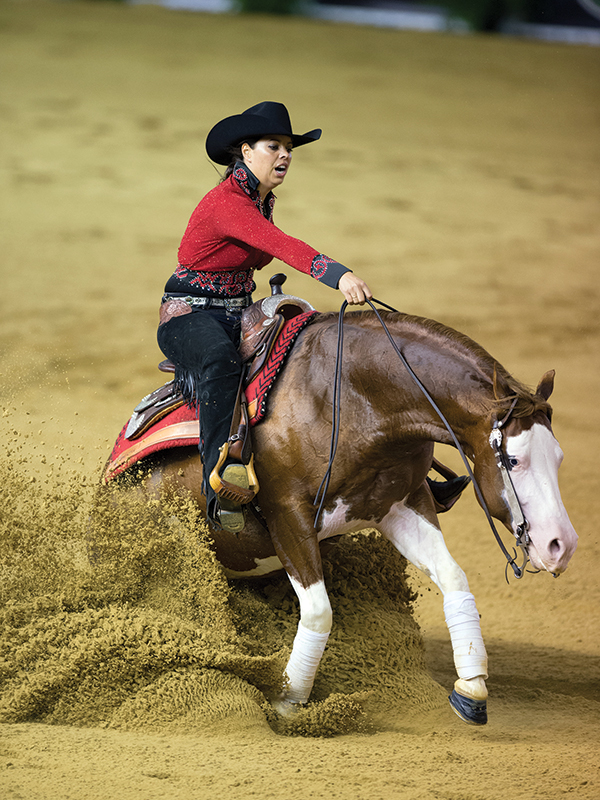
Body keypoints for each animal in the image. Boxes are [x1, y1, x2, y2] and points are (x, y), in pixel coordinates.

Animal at [100, 309, 578, 726]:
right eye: (513, 460)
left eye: (559, 457)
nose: (562, 545)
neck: (350, 398)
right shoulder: (288, 517)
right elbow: (318, 613)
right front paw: (289, 702)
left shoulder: (403, 504)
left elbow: (454, 579)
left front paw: (471, 688)